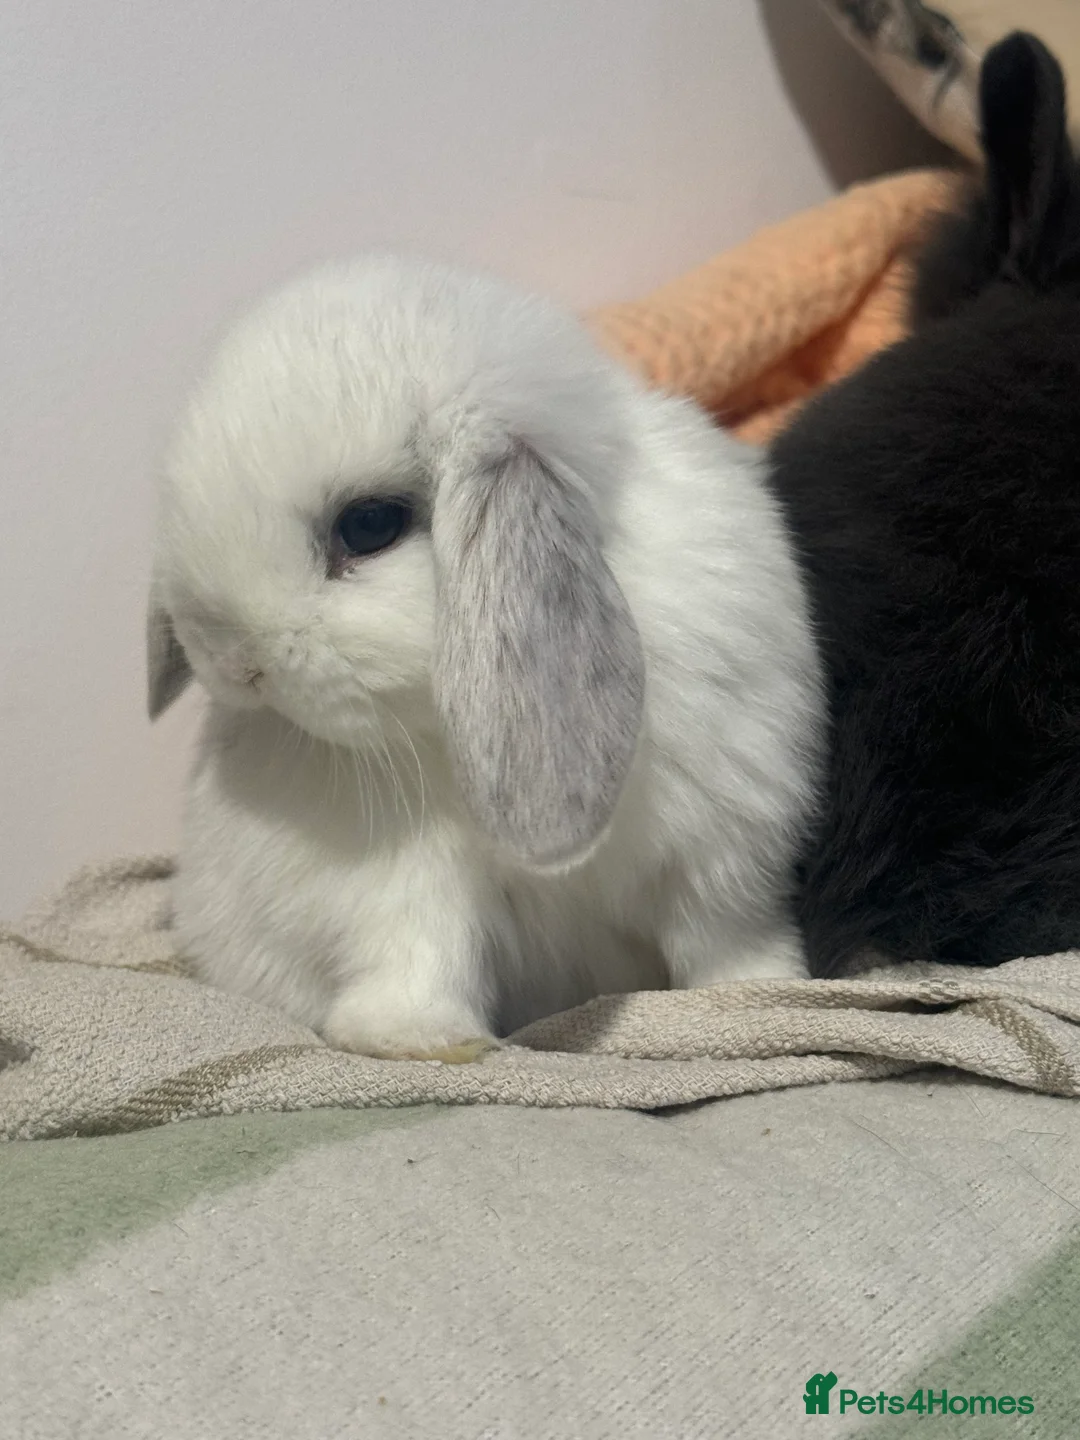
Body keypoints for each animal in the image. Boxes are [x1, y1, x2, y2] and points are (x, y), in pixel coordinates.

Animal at [147, 254, 825, 1059]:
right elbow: (421, 951)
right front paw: (424, 1041)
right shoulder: (404, 882)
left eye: (369, 525)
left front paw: (761, 997)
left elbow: (726, 940)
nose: (236, 664)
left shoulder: (721, 854)